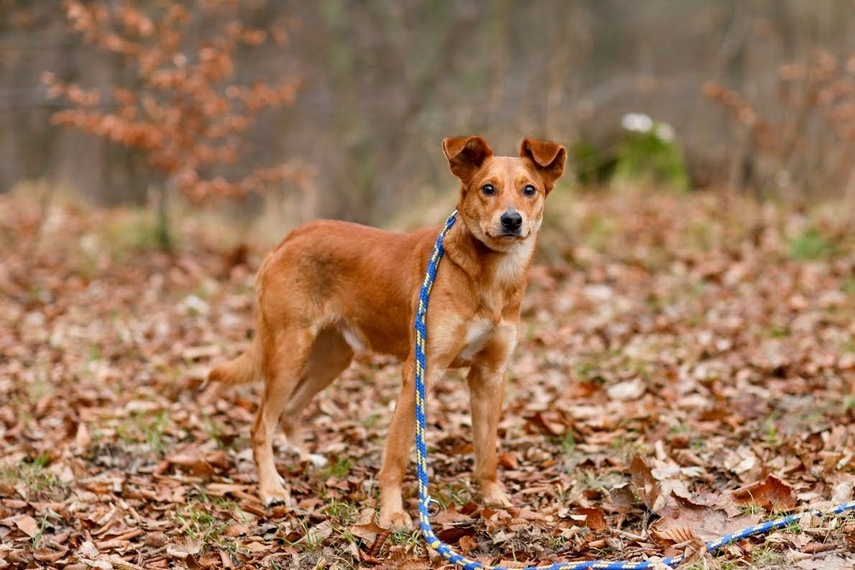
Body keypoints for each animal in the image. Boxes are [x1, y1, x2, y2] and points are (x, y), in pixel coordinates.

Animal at [210, 135, 564, 524]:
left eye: (529, 190)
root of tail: (290, 237)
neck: (490, 278)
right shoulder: (421, 372)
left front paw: (493, 497)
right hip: (290, 352)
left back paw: (305, 459)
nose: (512, 220)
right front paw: (392, 514)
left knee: (289, 411)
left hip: (332, 359)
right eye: (488, 188)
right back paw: (271, 489)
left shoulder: (490, 375)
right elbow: (396, 455)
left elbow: (486, 452)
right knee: (261, 425)